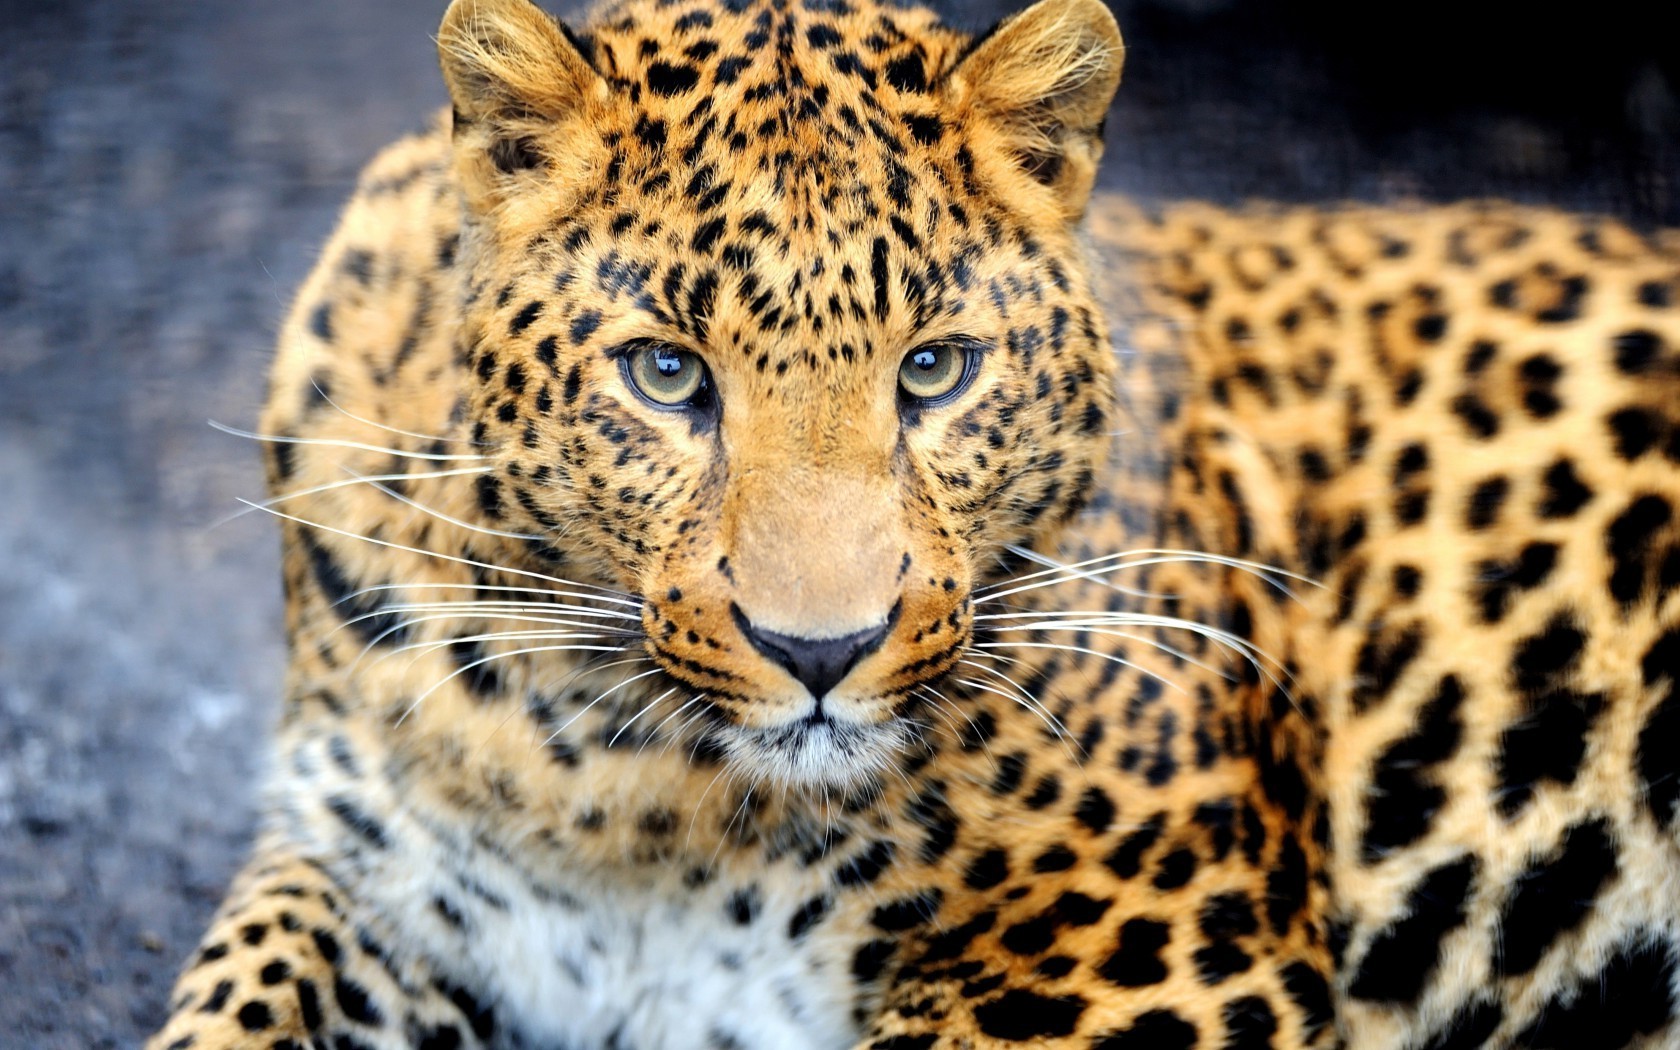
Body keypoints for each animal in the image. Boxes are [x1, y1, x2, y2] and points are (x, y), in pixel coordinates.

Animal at [147, 0, 1680, 1041]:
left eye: (934, 370)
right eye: (667, 374)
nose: (820, 652)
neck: (630, 789)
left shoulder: (1142, 951)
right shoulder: (372, 870)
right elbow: (237, 999)